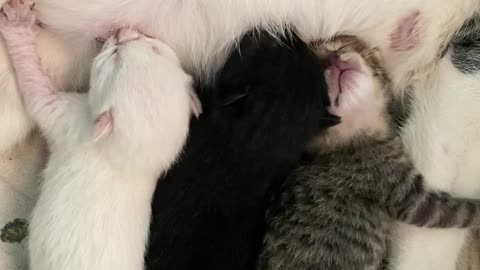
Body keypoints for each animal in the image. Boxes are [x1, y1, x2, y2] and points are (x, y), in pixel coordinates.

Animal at [0, 1, 199, 268]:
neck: (128, 162)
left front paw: (17, 25)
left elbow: (34, 87)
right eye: (155, 47)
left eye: (114, 56)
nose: (121, 31)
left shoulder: (70, 119)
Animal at [256, 34, 480, 268]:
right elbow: (456, 212)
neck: (356, 135)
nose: (333, 59)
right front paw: (478, 210)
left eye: (339, 47)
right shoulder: (400, 191)